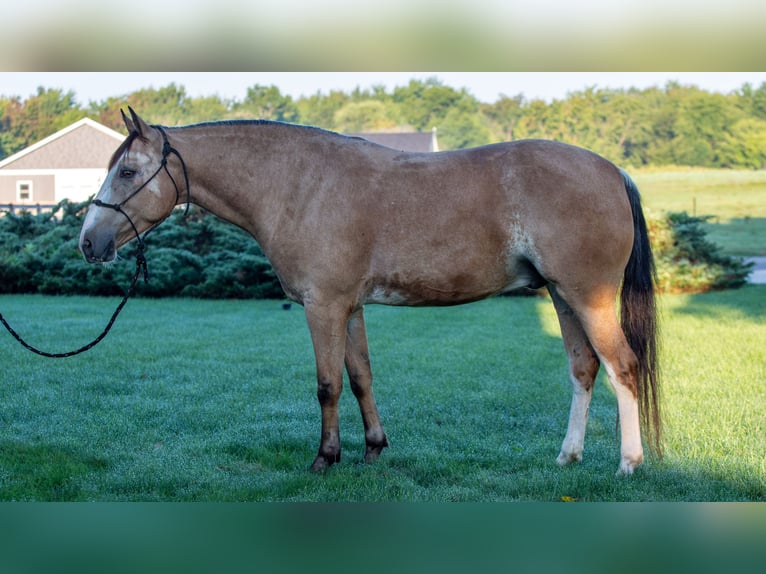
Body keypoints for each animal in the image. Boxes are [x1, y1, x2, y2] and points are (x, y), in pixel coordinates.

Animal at [80, 108, 661, 475]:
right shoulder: (351, 307)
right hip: (562, 295)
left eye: (127, 170)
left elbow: (327, 385)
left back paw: (628, 464)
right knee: (584, 370)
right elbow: (360, 378)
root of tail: (613, 170)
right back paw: (568, 457)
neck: (298, 184)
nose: (89, 242)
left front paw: (325, 458)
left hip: (588, 296)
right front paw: (373, 450)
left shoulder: (324, 307)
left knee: (622, 367)